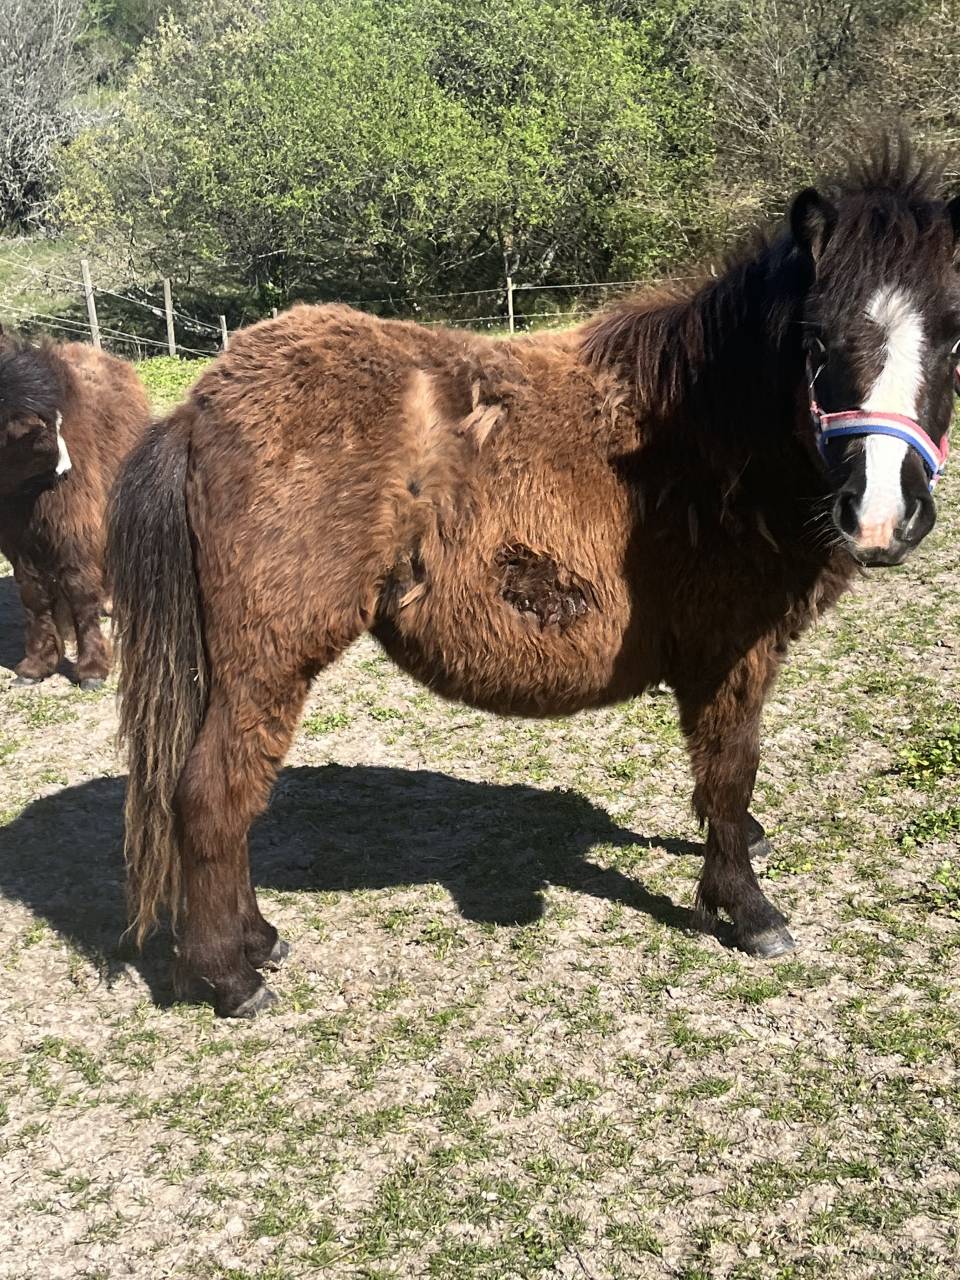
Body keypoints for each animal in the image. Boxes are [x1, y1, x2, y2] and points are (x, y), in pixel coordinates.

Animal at [0, 331, 151, 688]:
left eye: (60, 426)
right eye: (39, 437)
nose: (66, 471)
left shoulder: (74, 529)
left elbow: (80, 591)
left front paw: (92, 669)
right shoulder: (17, 542)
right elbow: (33, 594)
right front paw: (36, 665)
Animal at [109, 143, 960, 1018]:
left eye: (954, 340)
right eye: (817, 343)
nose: (882, 516)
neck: (706, 433)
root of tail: (202, 403)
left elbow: (721, 786)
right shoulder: (730, 655)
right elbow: (730, 774)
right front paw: (747, 908)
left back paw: (256, 940)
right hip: (269, 657)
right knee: (212, 793)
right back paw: (229, 974)